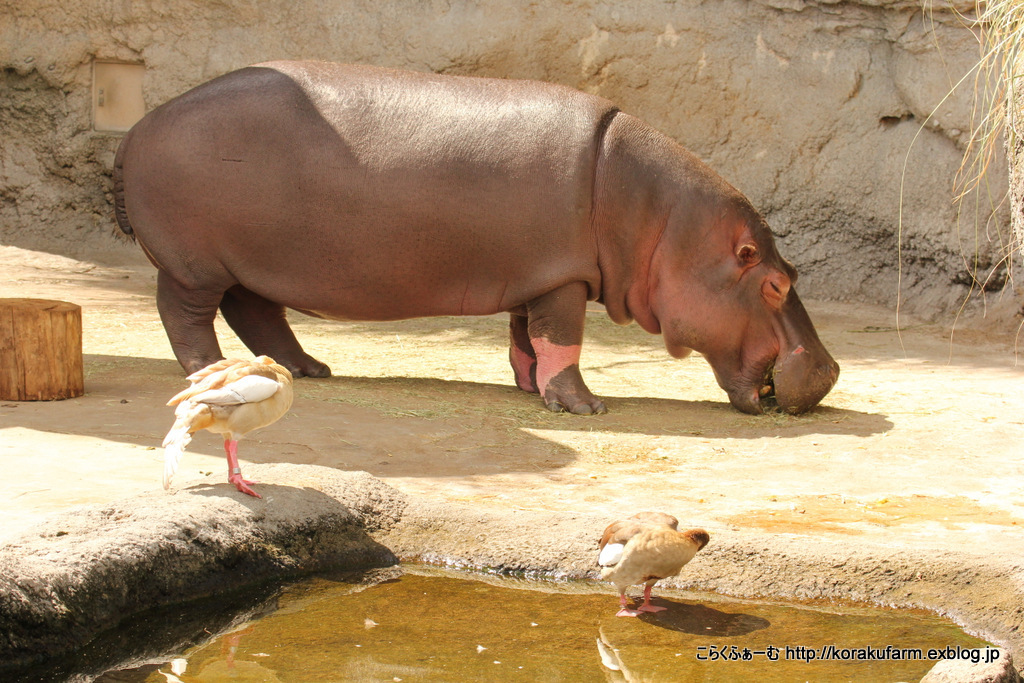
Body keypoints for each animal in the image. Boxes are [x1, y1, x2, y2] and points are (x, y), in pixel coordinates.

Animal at [112, 62, 839, 417]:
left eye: (796, 273)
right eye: (777, 282)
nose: (831, 370)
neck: (665, 222)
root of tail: (139, 125)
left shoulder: (538, 274)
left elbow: (526, 338)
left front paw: (528, 389)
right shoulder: (564, 278)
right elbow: (563, 340)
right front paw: (586, 408)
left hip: (248, 262)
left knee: (258, 312)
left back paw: (311, 369)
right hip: (195, 264)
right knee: (186, 316)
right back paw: (207, 372)